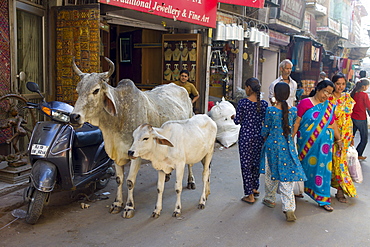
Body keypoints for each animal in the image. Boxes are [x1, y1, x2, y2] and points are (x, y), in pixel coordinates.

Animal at [70, 58, 195, 218]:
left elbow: (129, 181)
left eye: (96, 90)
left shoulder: (136, 156)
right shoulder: (116, 155)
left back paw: (191, 181)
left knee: (190, 163)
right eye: (77, 90)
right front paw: (117, 204)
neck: (118, 119)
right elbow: (119, 180)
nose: (74, 117)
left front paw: (129, 207)